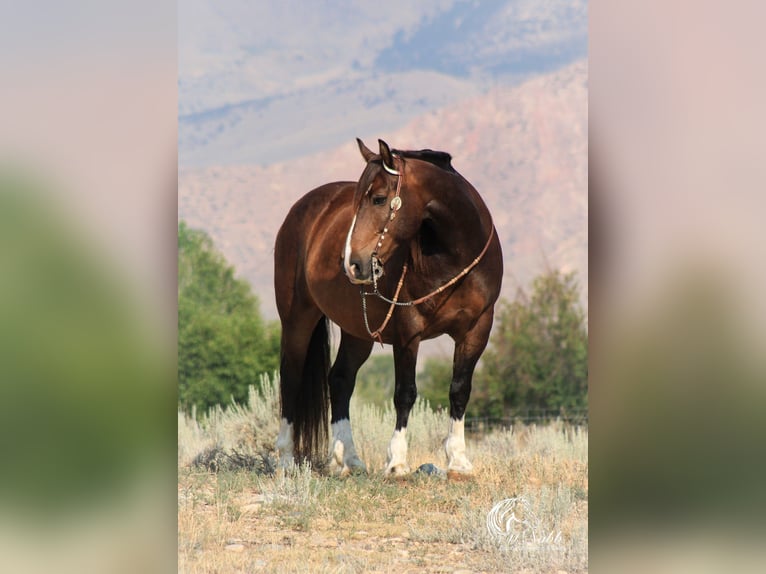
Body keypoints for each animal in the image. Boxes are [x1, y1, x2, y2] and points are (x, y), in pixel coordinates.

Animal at [276, 138, 504, 476]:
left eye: (379, 199)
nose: (352, 263)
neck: (453, 257)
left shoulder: (477, 329)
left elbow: (460, 389)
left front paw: (458, 460)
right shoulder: (408, 331)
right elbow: (405, 392)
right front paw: (396, 461)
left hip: (358, 331)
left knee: (340, 380)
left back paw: (348, 460)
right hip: (297, 319)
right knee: (290, 378)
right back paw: (286, 460)